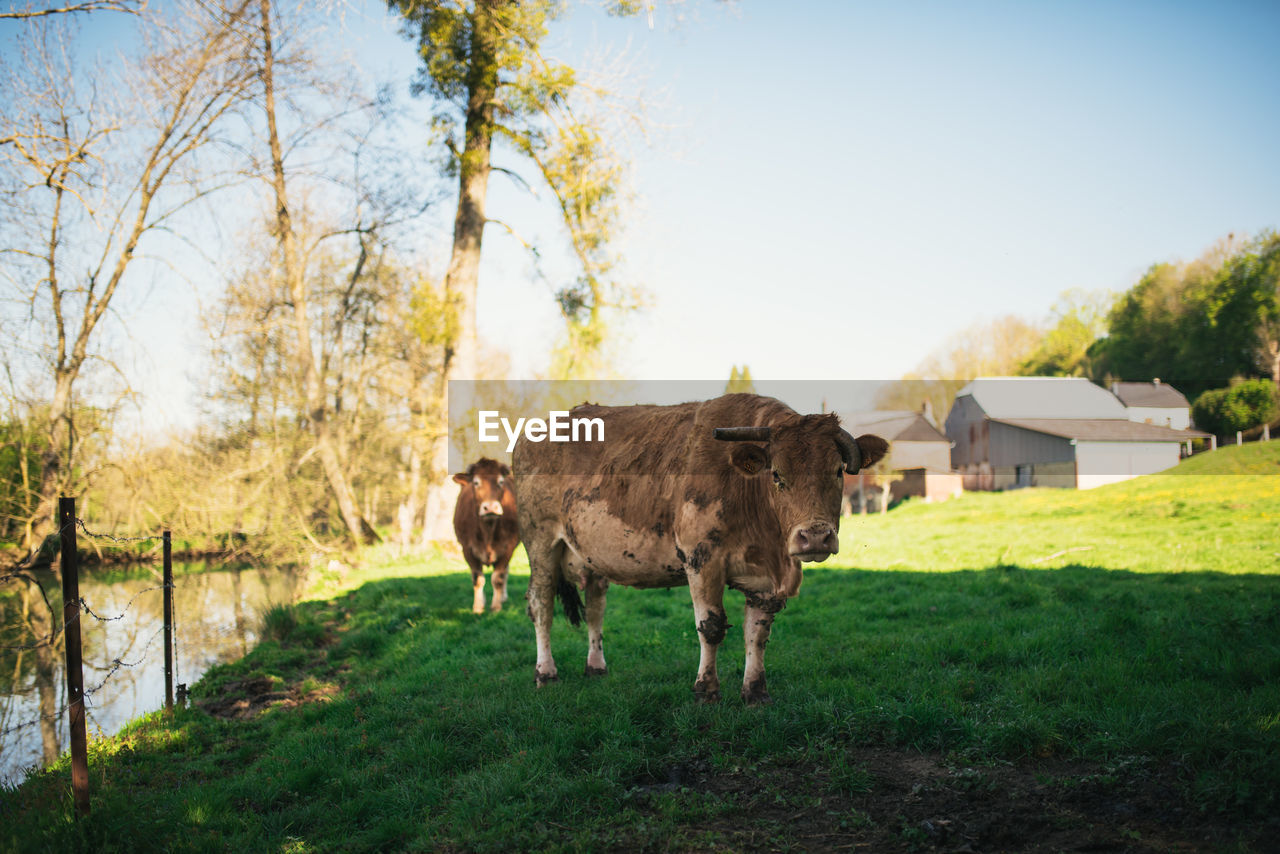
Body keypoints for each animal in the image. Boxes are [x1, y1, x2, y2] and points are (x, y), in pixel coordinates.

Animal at [450, 460, 519, 614]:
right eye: (476, 482)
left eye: (500, 482)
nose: (491, 507)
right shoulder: (467, 548)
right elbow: (477, 578)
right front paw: (478, 607)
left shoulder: (508, 547)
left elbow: (498, 577)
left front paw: (496, 607)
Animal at [514, 391, 885, 701]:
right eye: (777, 475)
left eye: (838, 471)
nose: (816, 536)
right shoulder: (702, 561)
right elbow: (711, 627)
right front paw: (706, 689)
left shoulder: (765, 580)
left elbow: (757, 633)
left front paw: (755, 692)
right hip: (540, 542)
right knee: (541, 604)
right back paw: (546, 673)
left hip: (590, 556)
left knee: (595, 606)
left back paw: (596, 667)